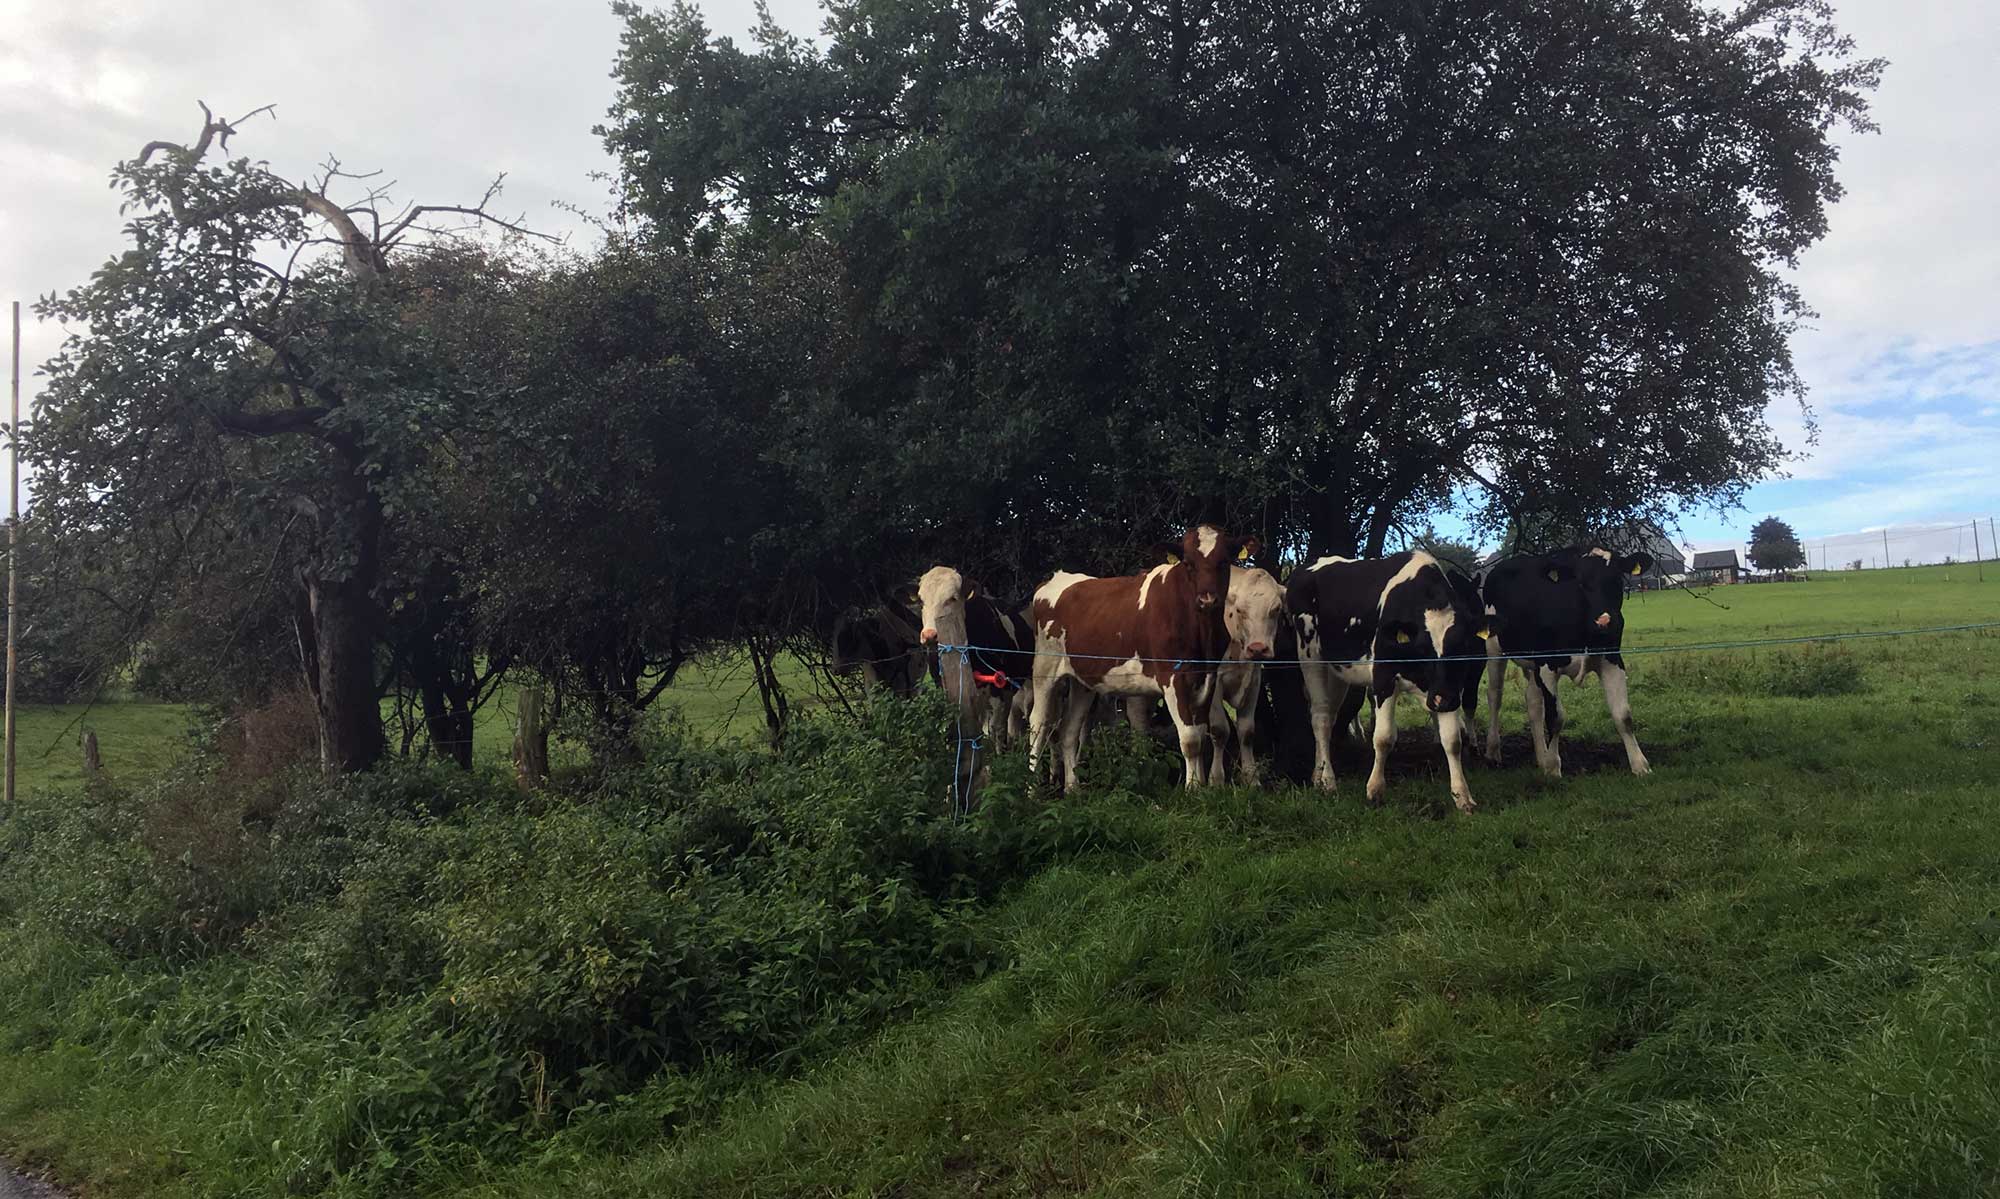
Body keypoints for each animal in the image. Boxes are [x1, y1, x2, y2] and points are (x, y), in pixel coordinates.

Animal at [1029, 526, 1259, 791]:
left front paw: (1201, 785)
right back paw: (1031, 789)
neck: (1202, 631)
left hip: (1082, 681)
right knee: (1038, 724)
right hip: (1044, 668)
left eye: (1223, 561)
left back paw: (1072, 788)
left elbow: (1201, 734)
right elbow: (1190, 740)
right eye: (1188, 563)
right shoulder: (1173, 678)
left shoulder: (1207, 678)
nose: (1207, 599)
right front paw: (1192, 790)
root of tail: (1055, 579)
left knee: (1069, 729)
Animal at [1286, 551, 1493, 813]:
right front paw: (1375, 790)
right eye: (1423, 648)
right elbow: (1384, 737)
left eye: (1461, 647)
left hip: (1339, 670)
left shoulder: (1447, 688)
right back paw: (1328, 782)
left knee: (1330, 716)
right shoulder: (1384, 678)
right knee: (1320, 718)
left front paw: (1462, 796)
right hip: (1311, 656)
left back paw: (1318, 774)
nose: (1442, 700)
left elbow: (1452, 740)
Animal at [1480, 545, 1653, 778]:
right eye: (1580, 583)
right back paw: (1493, 752)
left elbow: (1623, 715)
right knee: (1495, 695)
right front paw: (1554, 768)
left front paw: (1640, 765)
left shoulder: (1612, 660)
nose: (1604, 621)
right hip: (1494, 649)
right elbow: (1556, 717)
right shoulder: (1547, 665)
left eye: (1617, 579)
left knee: (1533, 701)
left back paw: (1541, 757)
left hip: (1532, 663)